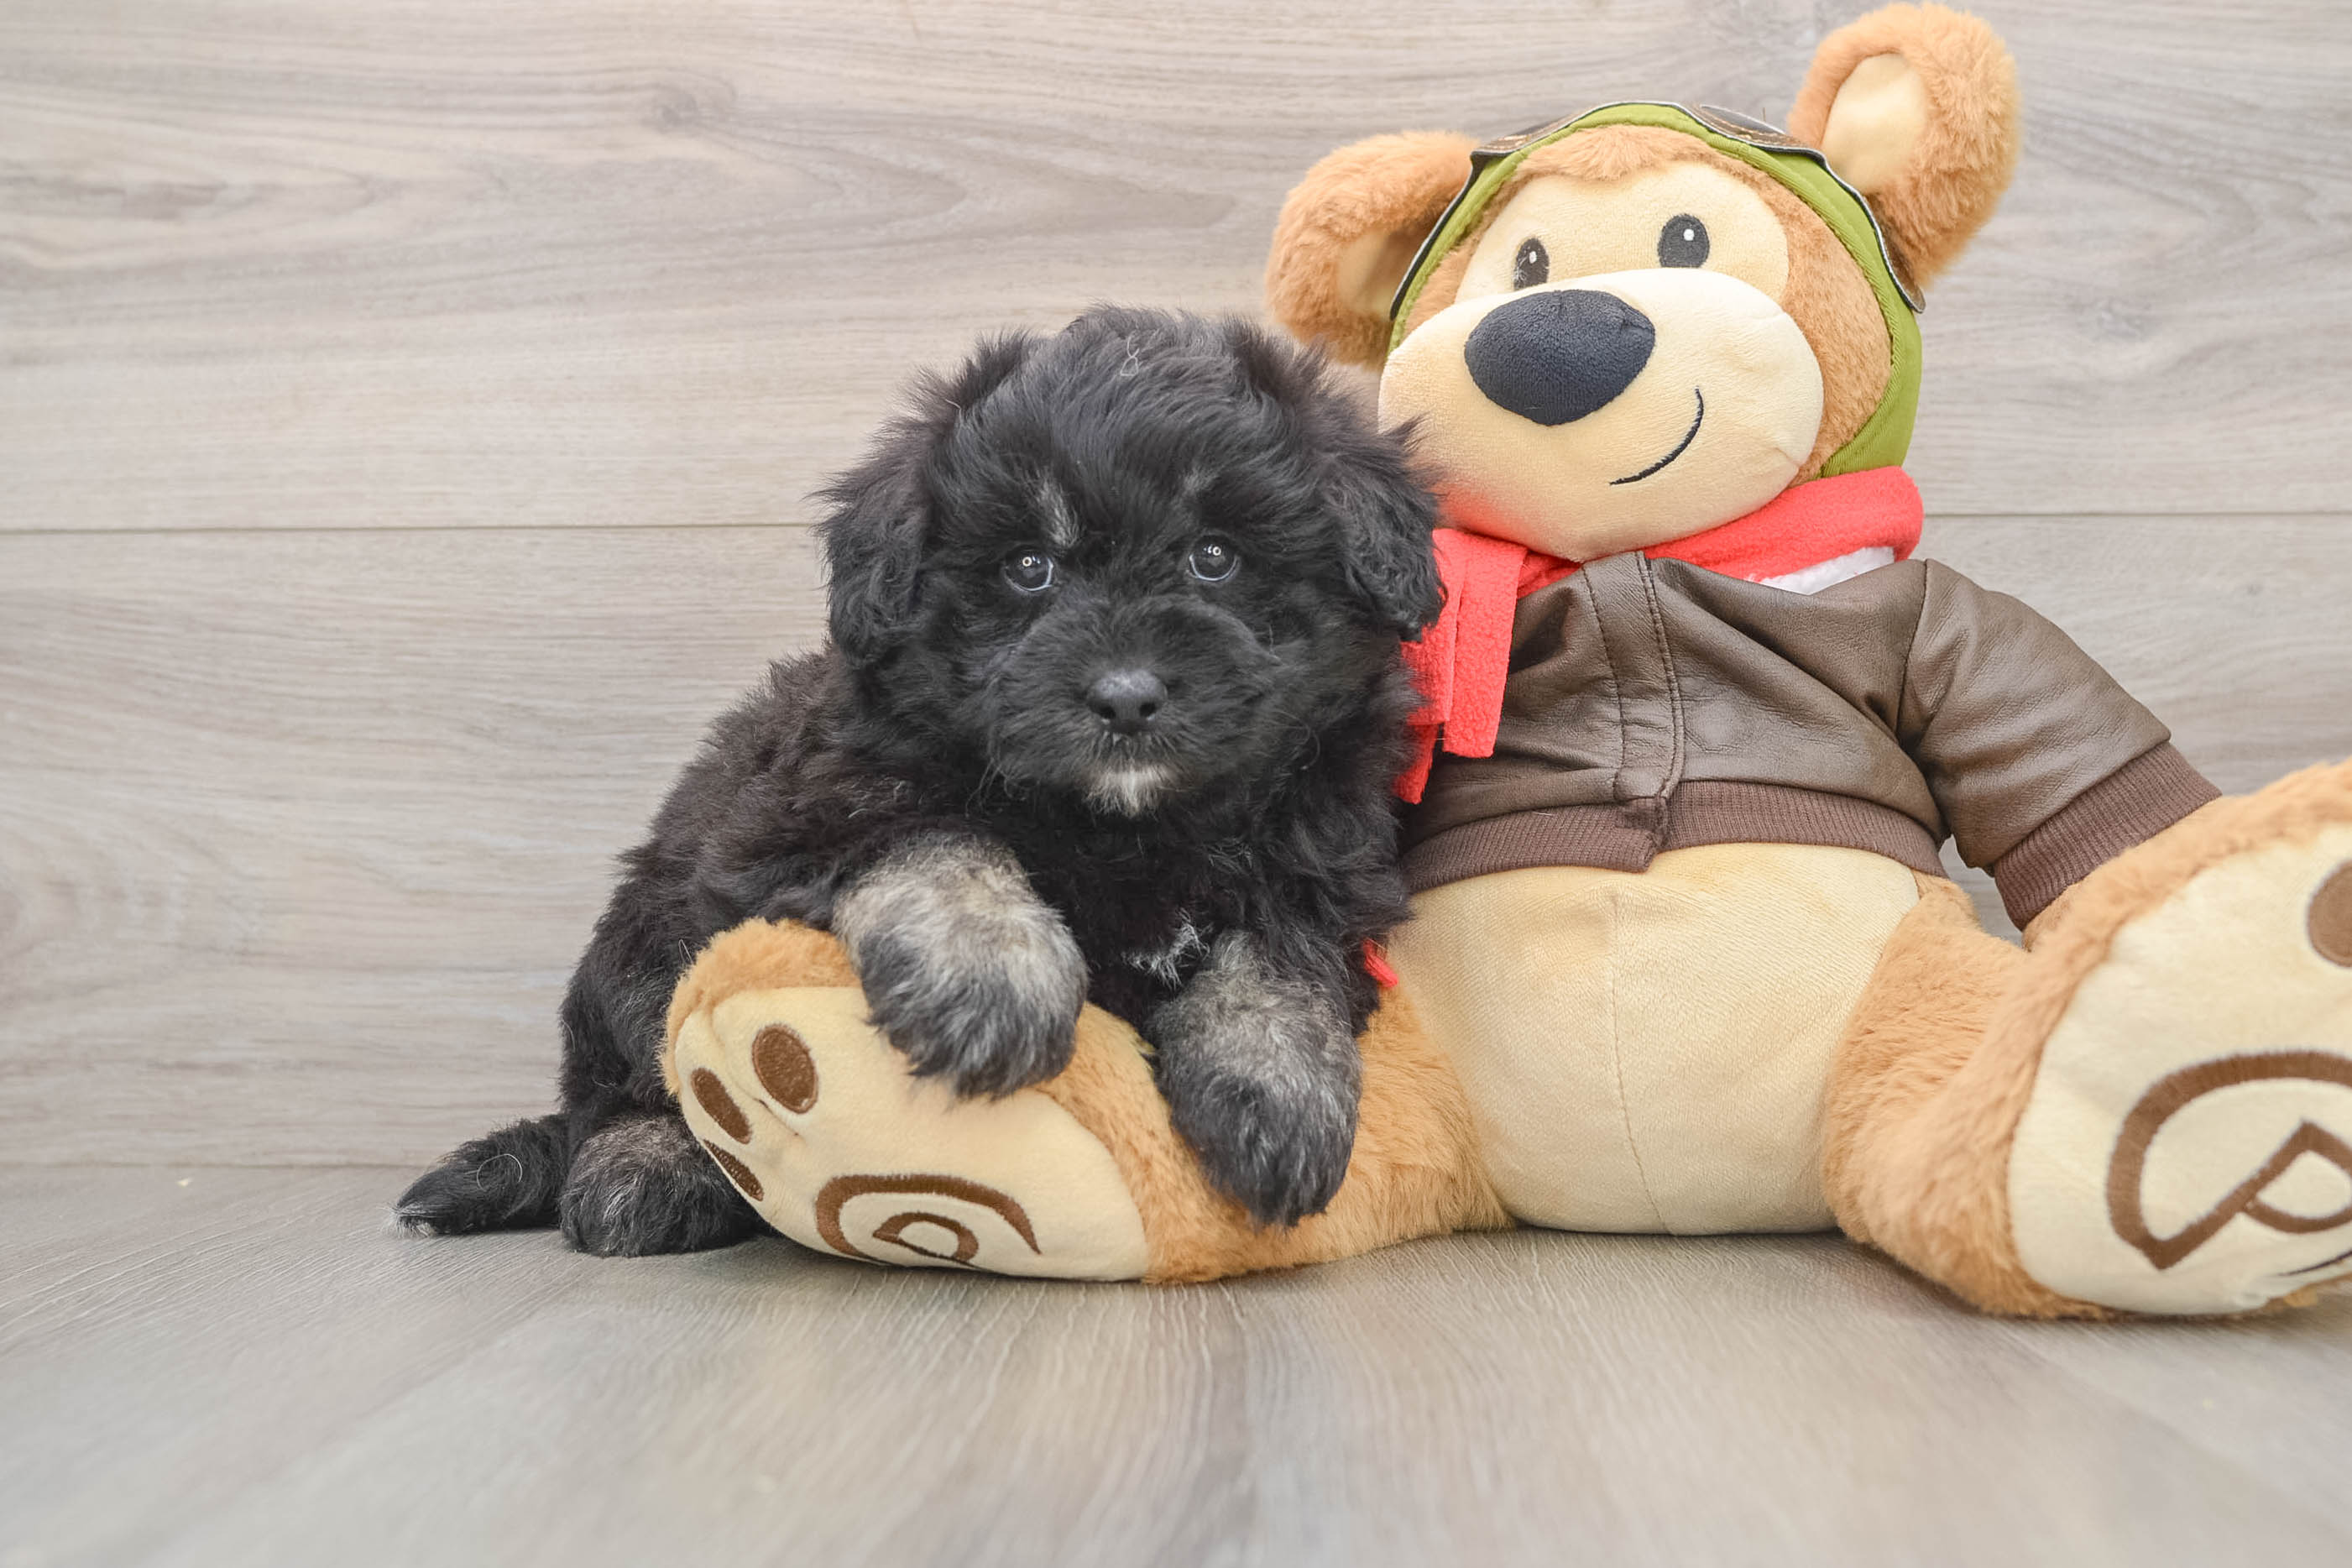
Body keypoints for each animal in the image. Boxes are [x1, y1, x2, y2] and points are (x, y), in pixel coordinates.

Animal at [395, 307, 1443, 1255]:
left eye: (1214, 555)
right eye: (1028, 566)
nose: (1126, 696)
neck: (1129, 822)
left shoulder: (1324, 857)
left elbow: (1279, 951)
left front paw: (1280, 1094)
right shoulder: (801, 817)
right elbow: (938, 837)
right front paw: (990, 979)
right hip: (645, 934)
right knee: (627, 1082)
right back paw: (652, 1168)